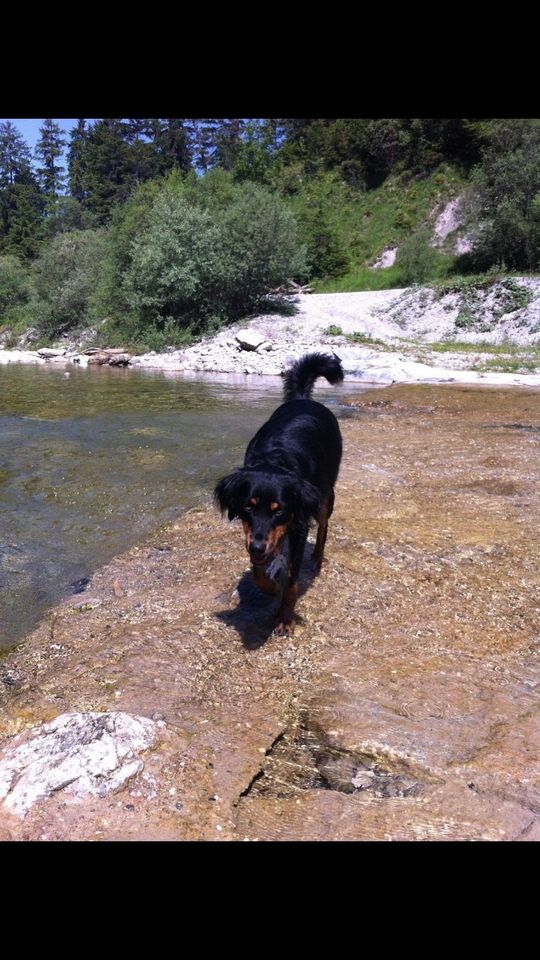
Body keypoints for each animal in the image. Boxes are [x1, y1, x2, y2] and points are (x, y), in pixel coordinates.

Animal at [214, 352, 344, 636]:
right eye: (248, 507)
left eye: (279, 509)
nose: (258, 547)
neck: (275, 461)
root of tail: (304, 400)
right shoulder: (255, 534)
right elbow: (257, 570)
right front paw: (270, 584)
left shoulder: (298, 523)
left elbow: (293, 580)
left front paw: (285, 616)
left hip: (324, 496)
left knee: (323, 526)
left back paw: (317, 557)